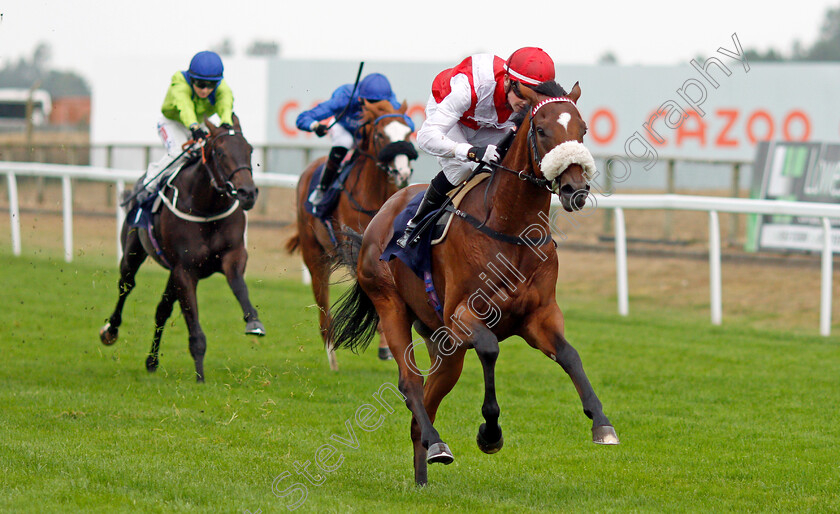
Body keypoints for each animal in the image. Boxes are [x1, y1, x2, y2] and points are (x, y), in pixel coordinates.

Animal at [99, 115, 262, 380]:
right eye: (220, 152)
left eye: (249, 150)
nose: (247, 193)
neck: (206, 208)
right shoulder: (186, 270)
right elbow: (194, 328)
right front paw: (200, 378)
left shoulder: (233, 255)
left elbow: (239, 286)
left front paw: (253, 322)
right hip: (133, 251)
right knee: (126, 284)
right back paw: (110, 331)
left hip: (171, 272)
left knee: (161, 309)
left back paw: (152, 361)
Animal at [286, 98, 416, 368]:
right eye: (380, 135)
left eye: (408, 132)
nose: (402, 172)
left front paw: (386, 345)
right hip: (314, 255)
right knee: (323, 303)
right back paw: (331, 354)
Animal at [328, 81, 616, 484]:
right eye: (543, 130)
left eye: (583, 129)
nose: (576, 188)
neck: (512, 231)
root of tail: (383, 212)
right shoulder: (462, 315)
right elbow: (490, 348)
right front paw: (490, 433)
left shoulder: (539, 316)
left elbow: (570, 356)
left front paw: (601, 423)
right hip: (391, 304)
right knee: (410, 383)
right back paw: (437, 444)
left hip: (443, 344)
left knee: (426, 403)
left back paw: (422, 474)